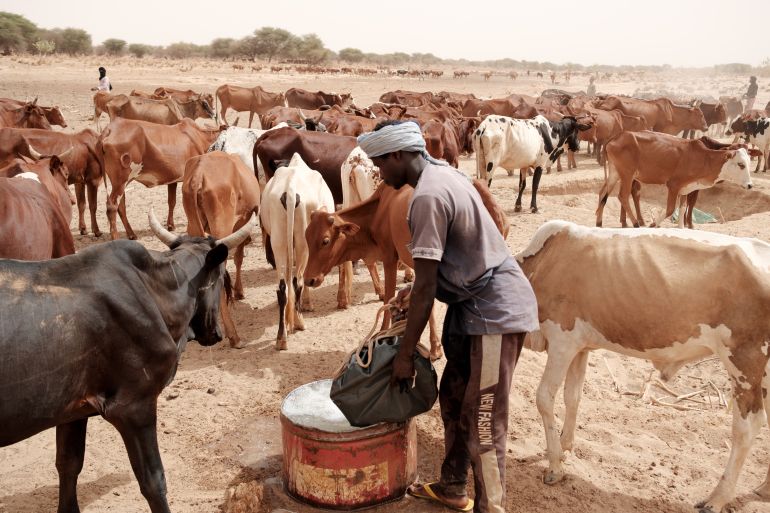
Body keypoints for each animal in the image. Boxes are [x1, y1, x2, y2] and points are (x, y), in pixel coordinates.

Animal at [260, 152, 332, 350]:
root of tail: (291, 191)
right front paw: (307, 305)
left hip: (279, 240)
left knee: (282, 288)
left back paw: (281, 337)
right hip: (302, 241)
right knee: (297, 280)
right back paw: (299, 322)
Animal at [516, 220, 770, 512]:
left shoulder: (562, 340)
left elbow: (544, 398)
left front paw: (554, 466)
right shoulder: (580, 347)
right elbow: (573, 396)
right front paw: (565, 447)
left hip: (744, 360)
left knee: (748, 427)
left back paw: (716, 498)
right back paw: (764, 488)